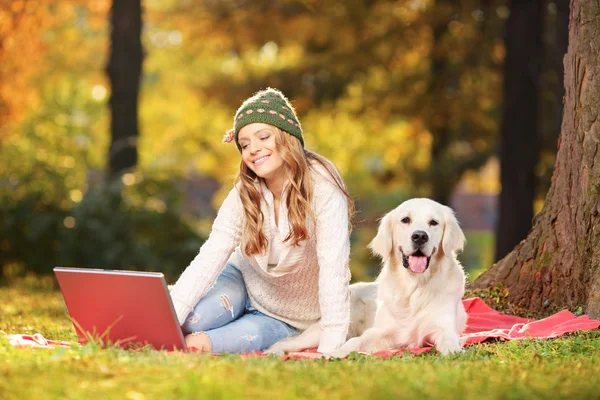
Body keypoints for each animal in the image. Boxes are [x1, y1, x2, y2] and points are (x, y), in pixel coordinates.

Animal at [268, 198, 468, 358]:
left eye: (434, 222)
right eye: (405, 220)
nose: (419, 236)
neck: (413, 287)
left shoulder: (443, 327)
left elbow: (449, 341)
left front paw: (455, 352)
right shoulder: (382, 331)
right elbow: (355, 342)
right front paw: (334, 354)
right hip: (321, 331)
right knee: (290, 342)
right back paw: (273, 352)